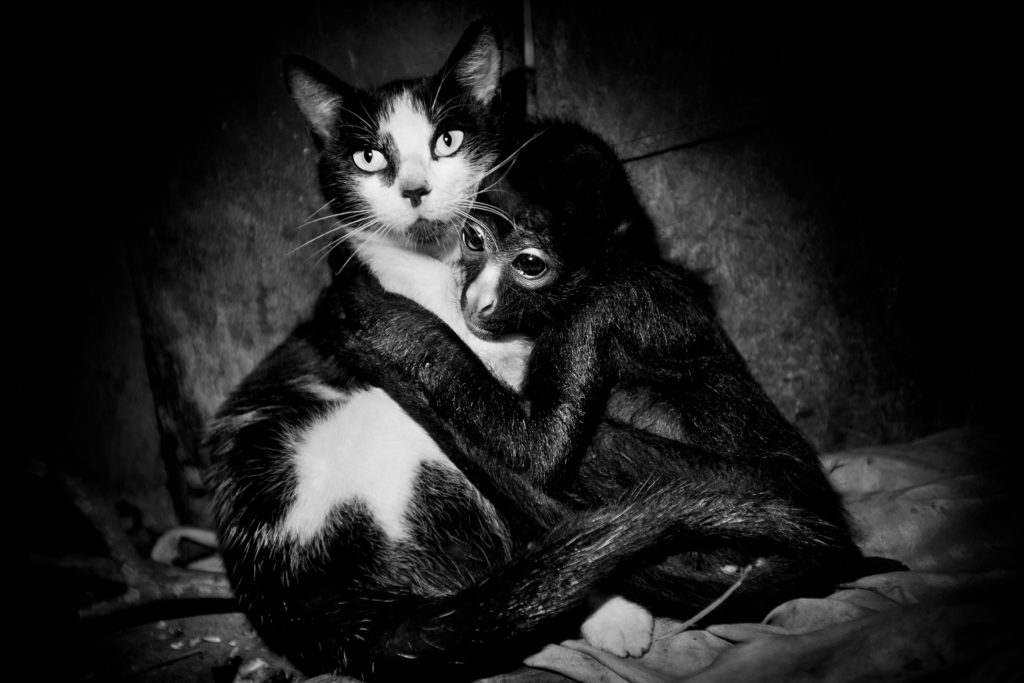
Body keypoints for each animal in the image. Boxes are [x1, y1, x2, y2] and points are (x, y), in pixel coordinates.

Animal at [203, 18, 884, 679]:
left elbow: (535, 438)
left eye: (447, 141)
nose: (416, 190)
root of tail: (315, 605)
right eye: (369, 157)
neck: (438, 274)